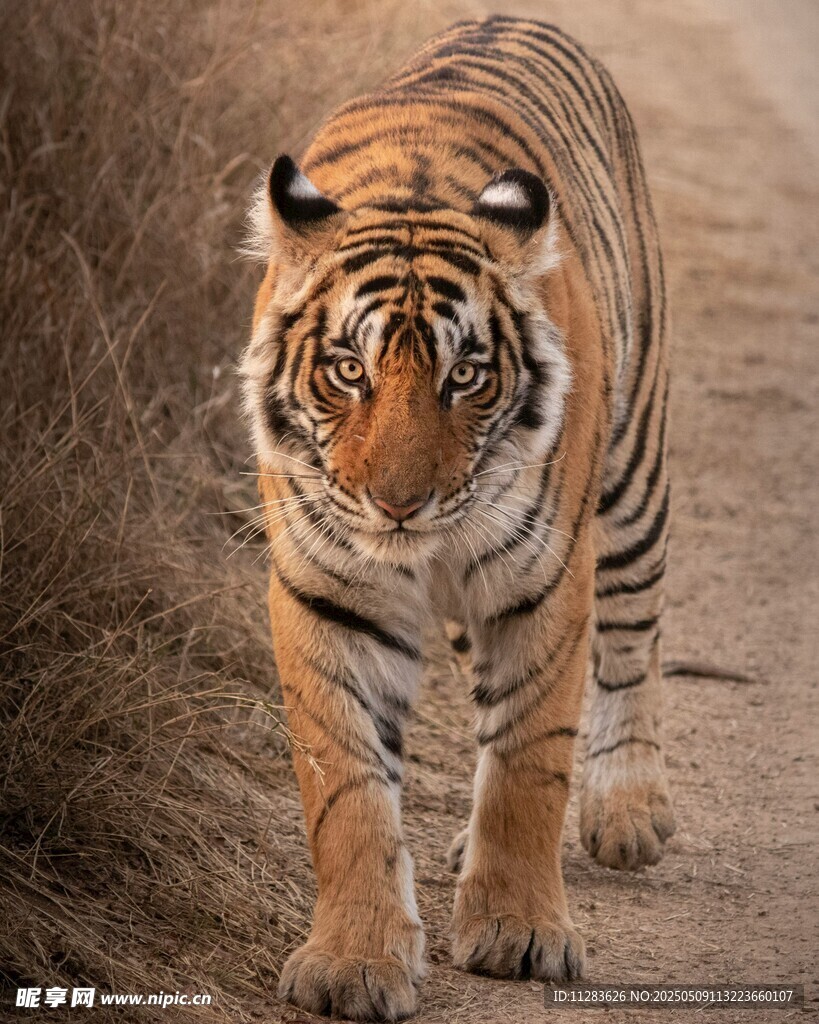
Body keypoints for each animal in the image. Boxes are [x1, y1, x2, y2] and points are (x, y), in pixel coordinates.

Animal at [240, 14, 676, 1021]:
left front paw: (519, 931)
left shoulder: (542, 580)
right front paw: (353, 961)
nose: (399, 504)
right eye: (348, 371)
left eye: (465, 376)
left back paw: (628, 807)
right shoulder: (329, 592)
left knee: (632, 635)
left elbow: (527, 761)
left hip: (632, 475)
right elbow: (346, 788)